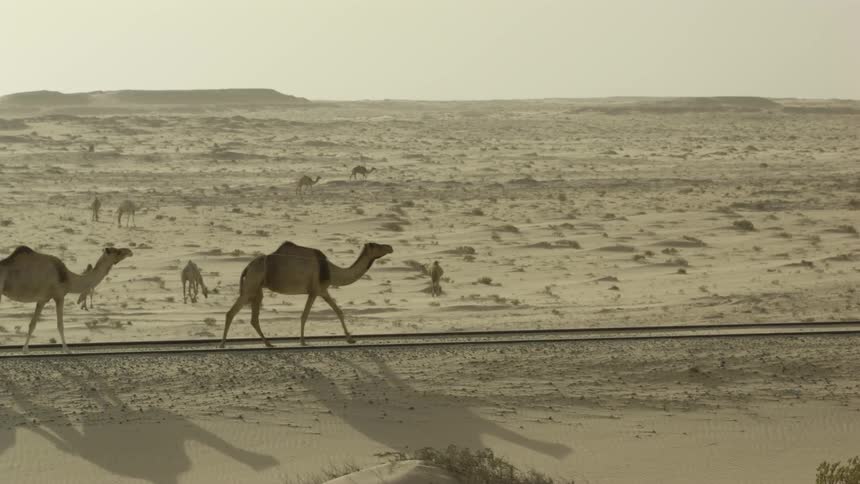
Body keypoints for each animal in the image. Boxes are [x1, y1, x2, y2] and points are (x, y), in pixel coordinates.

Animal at [0, 246, 133, 353]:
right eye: (117, 252)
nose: (130, 252)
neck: (69, 279)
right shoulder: (59, 295)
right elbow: (60, 324)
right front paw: (66, 349)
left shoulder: (42, 299)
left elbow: (32, 324)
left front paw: (25, 349)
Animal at [220, 241, 394, 348]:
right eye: (376, 245)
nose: (390, 247)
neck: (331, 271)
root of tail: (247, 267)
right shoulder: (314, 291)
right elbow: (304, 315)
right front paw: (303, 341)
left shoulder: (323, 291)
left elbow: (339, 311)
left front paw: (351, 339)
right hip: (252, 285)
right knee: (231, 312)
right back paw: (222, 344)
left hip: (257, 289)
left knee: (253, 318)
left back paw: (268, 343)